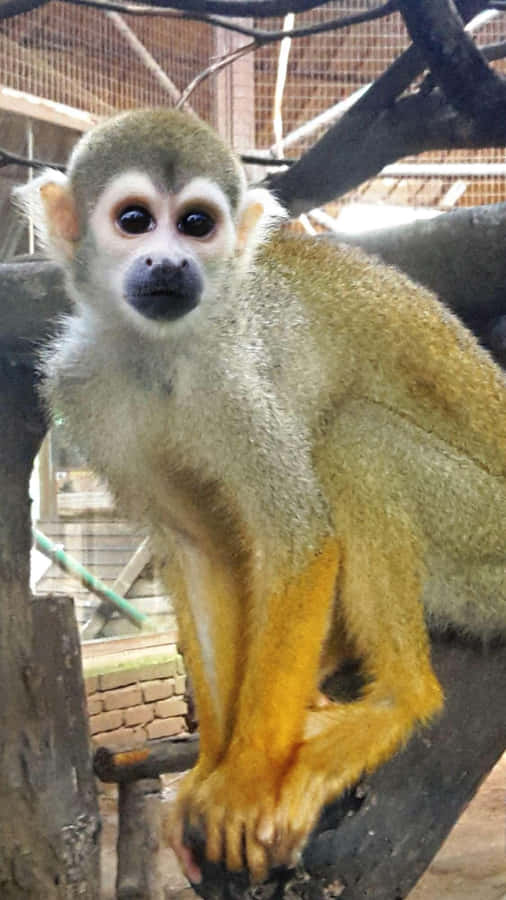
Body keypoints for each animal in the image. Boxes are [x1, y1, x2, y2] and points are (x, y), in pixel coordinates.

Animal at [14, 108, 506, 885]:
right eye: (134, 220)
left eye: (196, 224)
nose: (170, 265)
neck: (162, 350)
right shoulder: (81, 386)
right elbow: (198, 548)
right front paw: (208, 774)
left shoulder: (237, 381)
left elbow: (298, 538)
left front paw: (243, 786)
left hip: (486, 535)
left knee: (355, 437)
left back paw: (399, 699)